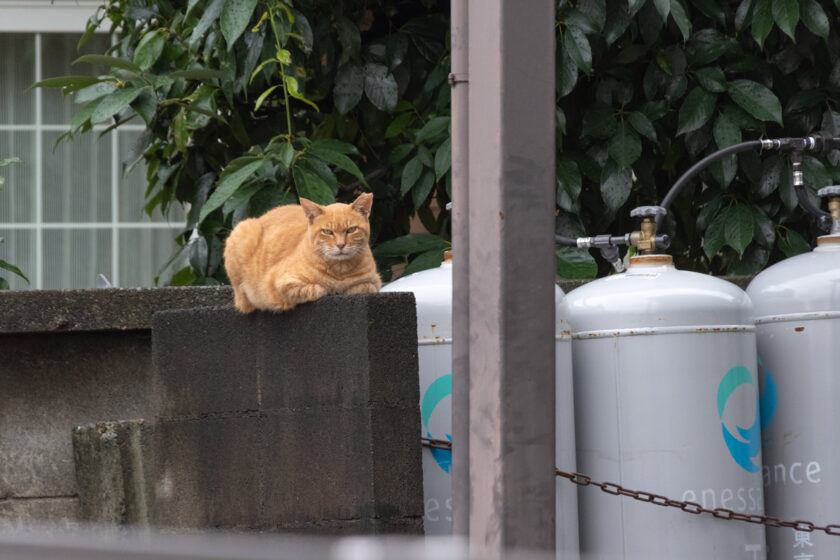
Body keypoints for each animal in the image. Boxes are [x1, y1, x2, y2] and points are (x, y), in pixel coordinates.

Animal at [223, 192, 380, 312]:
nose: (340, 245)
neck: (340, 271)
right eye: (327, 232)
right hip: (243, 229)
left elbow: (365, 286)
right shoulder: (279, 283)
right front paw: (330, 289)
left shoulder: (375, 281)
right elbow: (317, 289)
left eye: (351, 230)